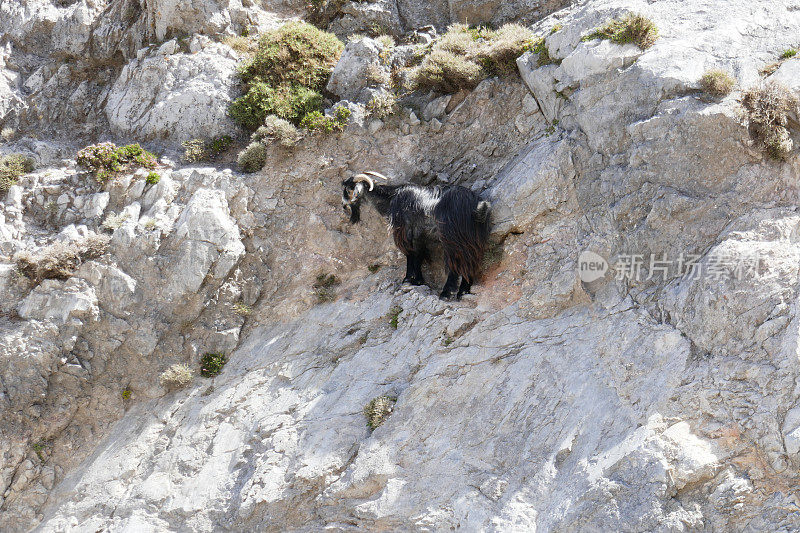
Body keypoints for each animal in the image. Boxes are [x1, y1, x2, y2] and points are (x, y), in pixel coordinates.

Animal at [340, 174, 490, 302]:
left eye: (348, 189)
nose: (343, 205)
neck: (391, 198)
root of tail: (476, 206)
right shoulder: (419, 235)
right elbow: (418, 254)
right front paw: (417, 280)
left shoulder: (404, 232)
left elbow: (410, 254)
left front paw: (407, 280)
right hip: (472, 238)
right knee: (471, 259)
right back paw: (464, 291)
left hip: (451, 237)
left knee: (456, 262)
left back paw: (447, 293)